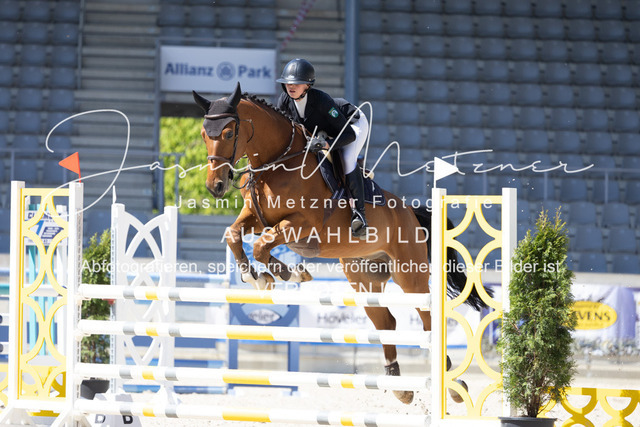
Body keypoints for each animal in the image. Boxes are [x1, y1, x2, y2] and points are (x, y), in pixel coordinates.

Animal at [193, 82, 490, 405]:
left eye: (228, 134)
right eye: (204, 134)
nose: (215, 186)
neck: (278, 164)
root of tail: (410, 212)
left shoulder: (303, 224)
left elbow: (261, 246)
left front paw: (286, 274)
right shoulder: (256, 217)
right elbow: (233, 235)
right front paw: (258, 277)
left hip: (410, 275)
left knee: (429, 321)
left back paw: (454, 385)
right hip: (363, 278)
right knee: (386, 322)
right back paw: (399, 384)